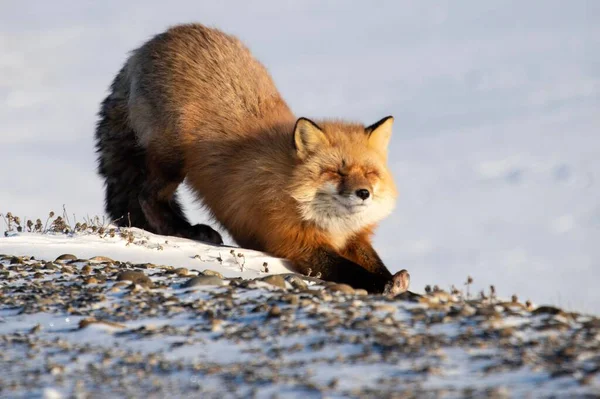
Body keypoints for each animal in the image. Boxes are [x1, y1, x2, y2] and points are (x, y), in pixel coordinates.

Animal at [95, 23, 408, 296]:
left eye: (369, 173)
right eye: (336, 171)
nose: (364, 193)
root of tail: (151, 44)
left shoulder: (354, 237)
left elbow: (374, 261)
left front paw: (394, 279)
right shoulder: (293, 242)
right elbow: (348, 270)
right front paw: (384, 285)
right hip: (171, 162)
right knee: (147, 197)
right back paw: (186, 231)